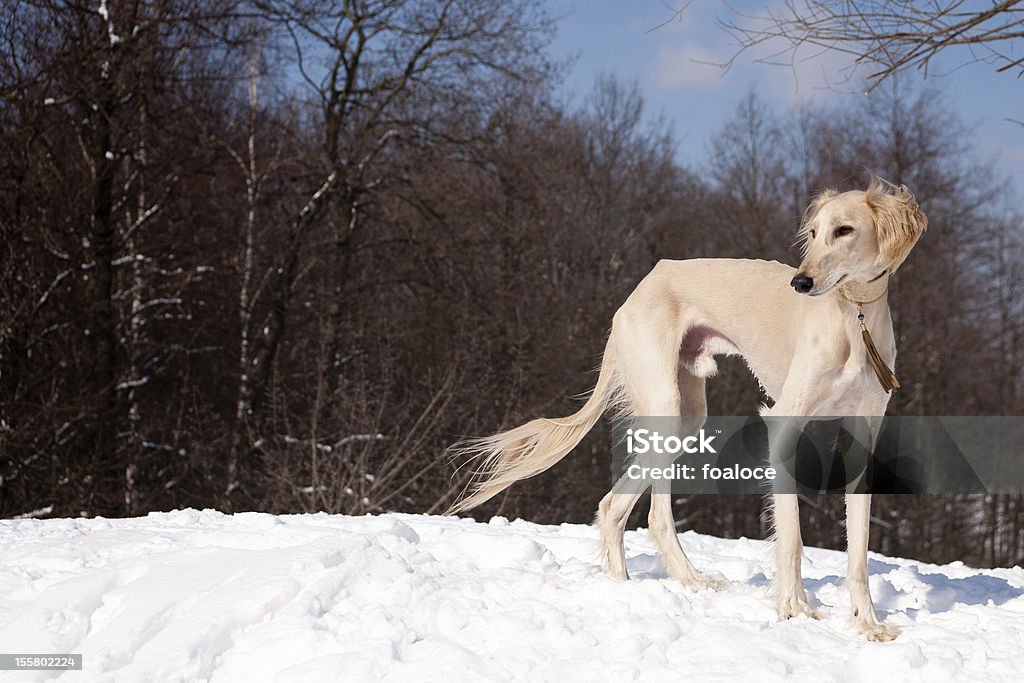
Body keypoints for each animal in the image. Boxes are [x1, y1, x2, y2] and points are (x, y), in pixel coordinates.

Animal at [448, 176, 929, 643]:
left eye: (844, 230)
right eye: (812, 233)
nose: (801, 283)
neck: (855, 317)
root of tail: (640, 287)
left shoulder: (864, 433)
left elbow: (859, 549)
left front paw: (868, 624)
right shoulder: (785, 421)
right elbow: (791, 534)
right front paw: (795, 609)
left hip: (686, 415)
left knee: (615, 506)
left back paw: (635, 585)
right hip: (666, 405)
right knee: (652, 513)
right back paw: (686, 581)